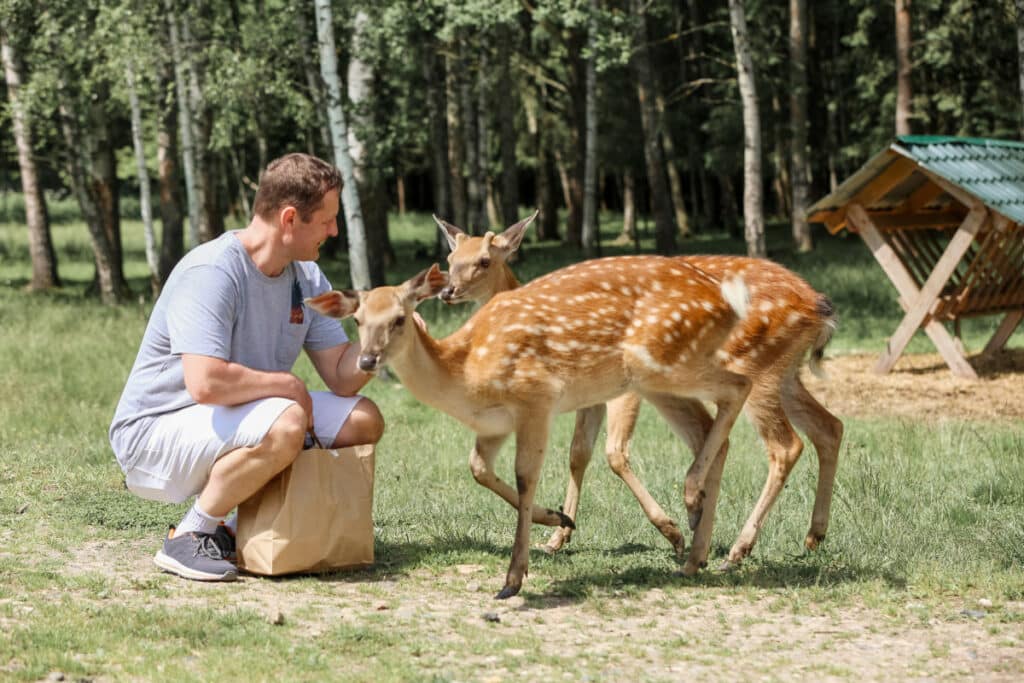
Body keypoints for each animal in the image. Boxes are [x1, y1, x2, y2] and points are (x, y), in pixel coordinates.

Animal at [305, 258, 753, 598]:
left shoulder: (536, 397)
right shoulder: (494, 426)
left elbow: (525, 476)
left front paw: (512, 579)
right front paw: (559, 519)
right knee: (711, 430)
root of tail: (728, 299)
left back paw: (691, 498)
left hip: (659, 360)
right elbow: (479, 469)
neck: (465, 375)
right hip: (657, 377)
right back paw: (694, 552)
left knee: (739, 385)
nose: (367, 360)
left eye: (399, 319)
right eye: (358, 319)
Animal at [436, 210, 843, 573]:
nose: (447, 290)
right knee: (829, 426)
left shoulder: (624, 388)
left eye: (484, 260)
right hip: (785, 373)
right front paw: (558, 535)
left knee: (784, 445)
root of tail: (820, 308)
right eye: (450, 259)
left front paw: (671, 531)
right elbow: (578, 454)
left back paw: (735, 549)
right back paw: (811, 535)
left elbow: (614, 453)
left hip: (755, 369)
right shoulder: (587, 395)